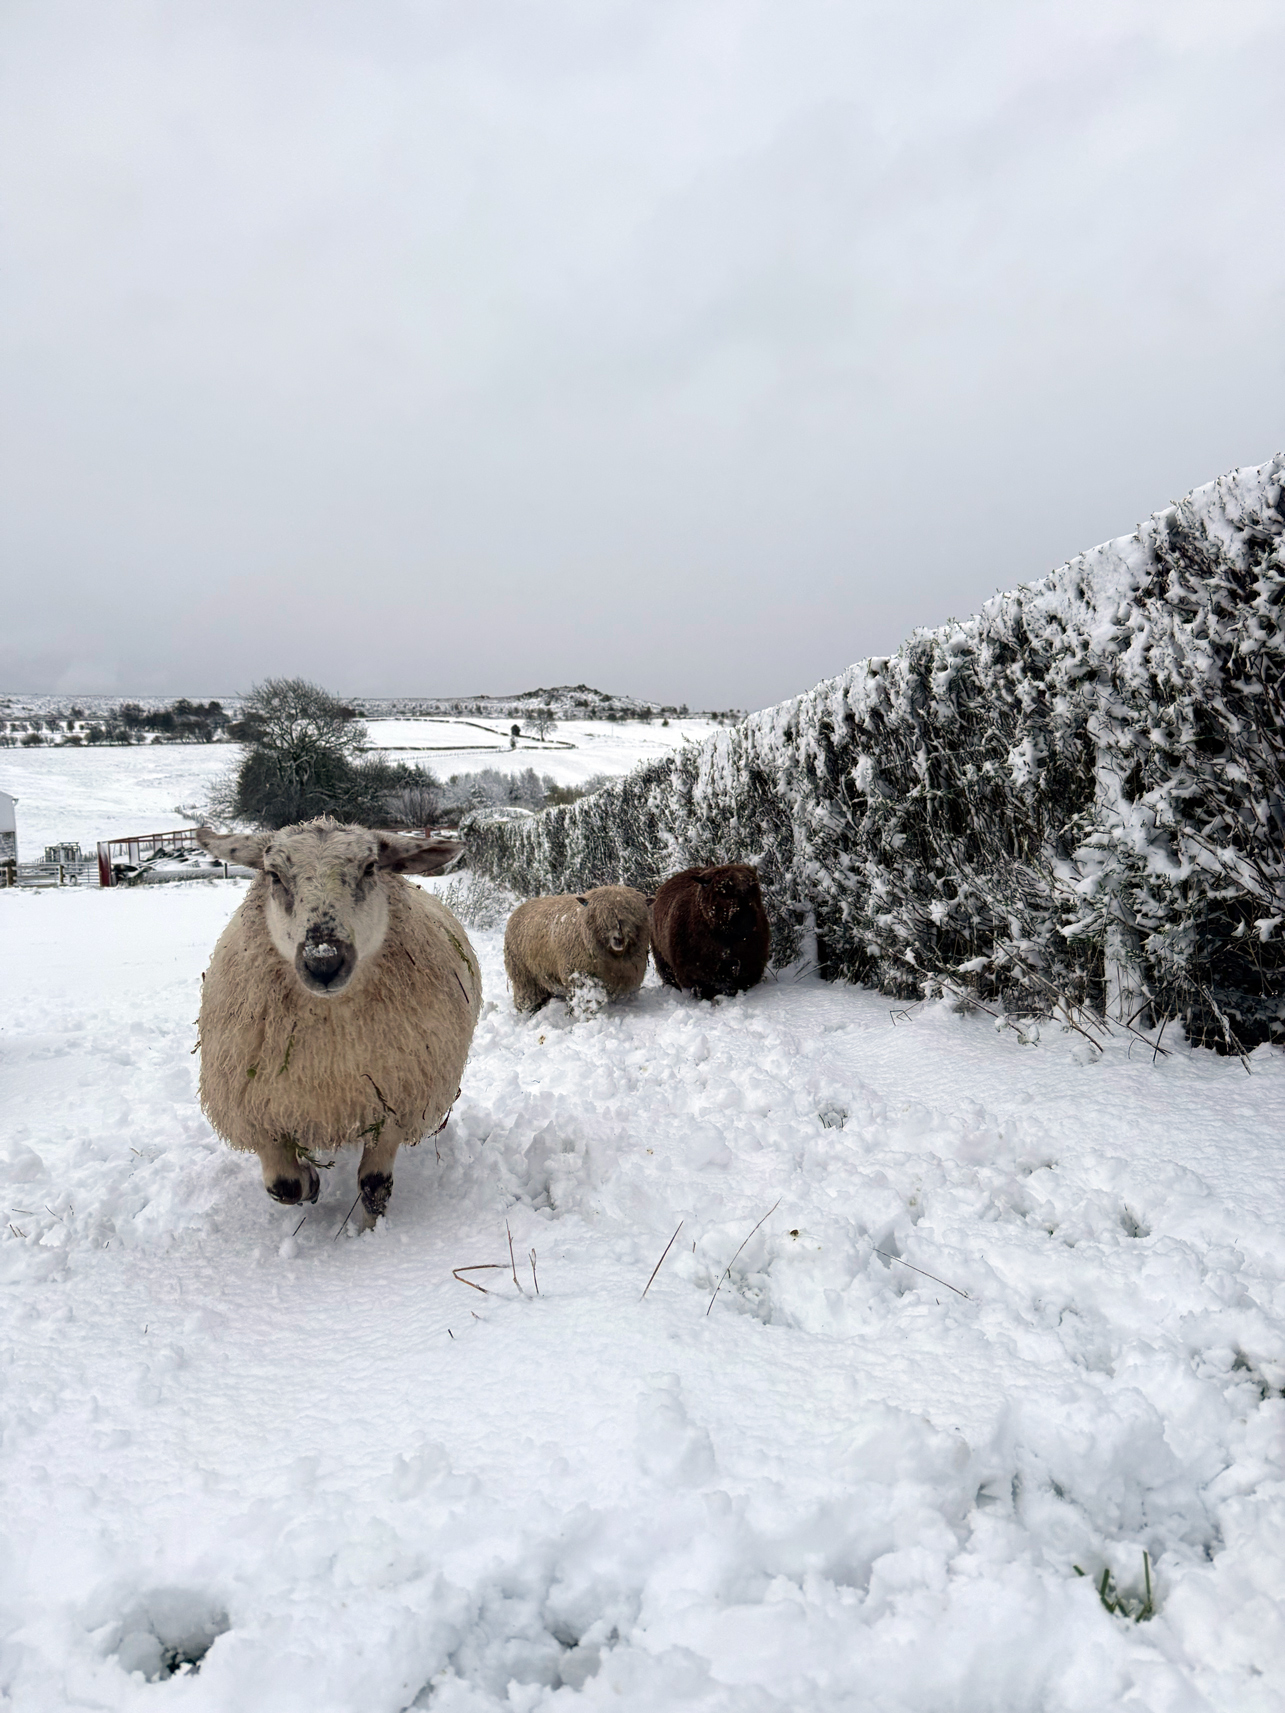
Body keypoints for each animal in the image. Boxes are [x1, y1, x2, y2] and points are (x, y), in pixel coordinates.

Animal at [194, 819, 480, 1225]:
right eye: (274, 875)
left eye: (370, 868)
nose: (324, 961)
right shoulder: (258, 1109)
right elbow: (284, 1186)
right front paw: (310, 1183)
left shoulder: (393, 1102)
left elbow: (374, 1186)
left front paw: (370, 1230)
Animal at [503, 885, 650, 1013]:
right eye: (601, 918)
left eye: (633, 918)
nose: (619, 938)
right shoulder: (581, 977)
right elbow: (587, 1002)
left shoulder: (627, 978)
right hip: (524, 976)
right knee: (527, 997)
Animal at [650, 863, 770, 1000]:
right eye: (722, 891)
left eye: (752, 888)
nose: (747, 917)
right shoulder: (695, 970)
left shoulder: (751, 962)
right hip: (662, 959)